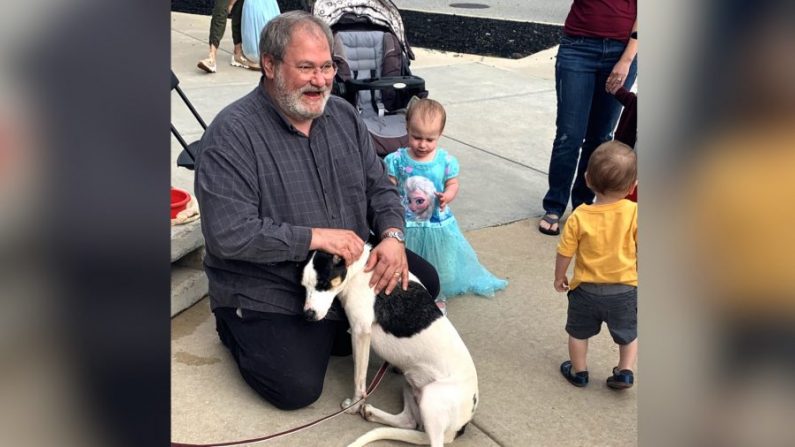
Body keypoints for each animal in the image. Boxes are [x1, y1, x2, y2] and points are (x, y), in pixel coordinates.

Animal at [304, 247, 478, 446]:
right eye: (303, 285)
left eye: (323, 283)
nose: (307, 315)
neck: (360, 269)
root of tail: (460, 427)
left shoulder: (360, 332)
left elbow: (359, 380)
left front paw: (354, 406)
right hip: (411, 383)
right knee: (410, 422)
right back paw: (372, 413)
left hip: (431, 398)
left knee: (430, 439)